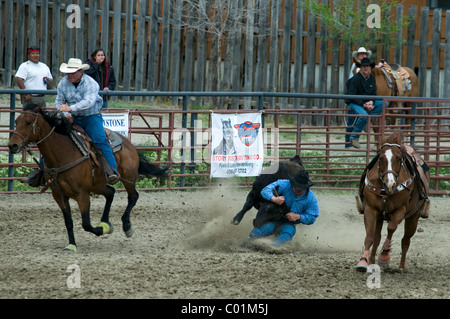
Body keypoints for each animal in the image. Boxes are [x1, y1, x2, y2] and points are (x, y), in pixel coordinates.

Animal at [7, 104, 169, 254]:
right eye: (16, 121)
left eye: (28, 122)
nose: (12, 145)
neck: (63, 154)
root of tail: (128, 143)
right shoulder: (58, 195)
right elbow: (69, 222)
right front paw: (71, 245)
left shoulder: (82, 194)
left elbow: (86, 223)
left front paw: (102, 230)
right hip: (98, 185)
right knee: (111, 193)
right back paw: (106, 222)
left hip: (127, 178)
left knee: (133, 196)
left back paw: (126, 226)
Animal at [356, 131, 428, 272]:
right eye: (380, 158)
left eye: (399, 159)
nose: (390, 184)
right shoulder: (371, 209)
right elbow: (370, 237)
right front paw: (363, 261)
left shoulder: (400, 210)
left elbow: (391, 228)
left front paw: (384, 256)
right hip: (380, 217)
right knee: (377, 238)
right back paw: (372, 262)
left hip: (413, 218)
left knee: (405, 241)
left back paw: (401, 267)